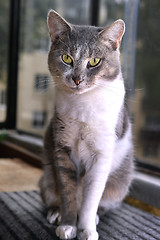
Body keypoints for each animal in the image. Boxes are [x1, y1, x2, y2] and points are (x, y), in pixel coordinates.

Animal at [39, 9, 134, 240]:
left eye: (94, 61)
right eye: (66, 58)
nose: (77, 79)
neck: (83, 103)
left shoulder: (101, 155)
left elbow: (91, 201)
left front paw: (87, 230)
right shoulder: (62, 150)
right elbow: (68, 194)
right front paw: (67, 225)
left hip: (120, 182)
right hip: (47, 177)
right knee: (53, 195)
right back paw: (55, 213)